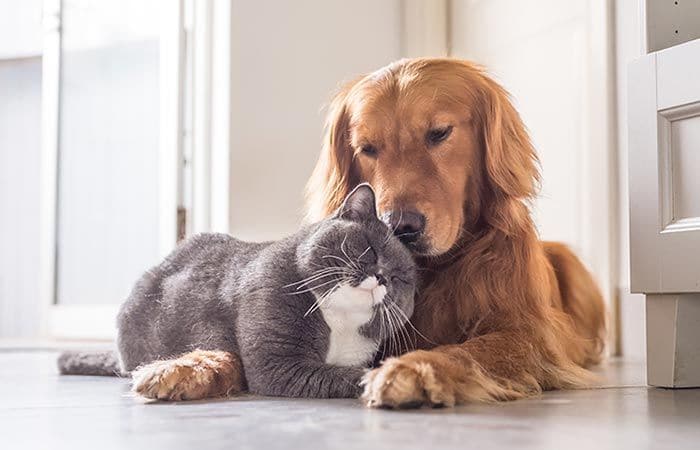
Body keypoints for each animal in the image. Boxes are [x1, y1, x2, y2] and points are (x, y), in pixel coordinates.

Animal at [58, 185, 416, 402]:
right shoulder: (278, 365)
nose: (381, 277)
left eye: (400, 278)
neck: (339, 322)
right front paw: (385, 379)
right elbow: (344, 375)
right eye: (369, 249)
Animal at [306, 58, 608, 410]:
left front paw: (414, 369)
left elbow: (469, 351)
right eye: (367, 148)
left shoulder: (528, 334)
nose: (399, 226)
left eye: (439, 133)